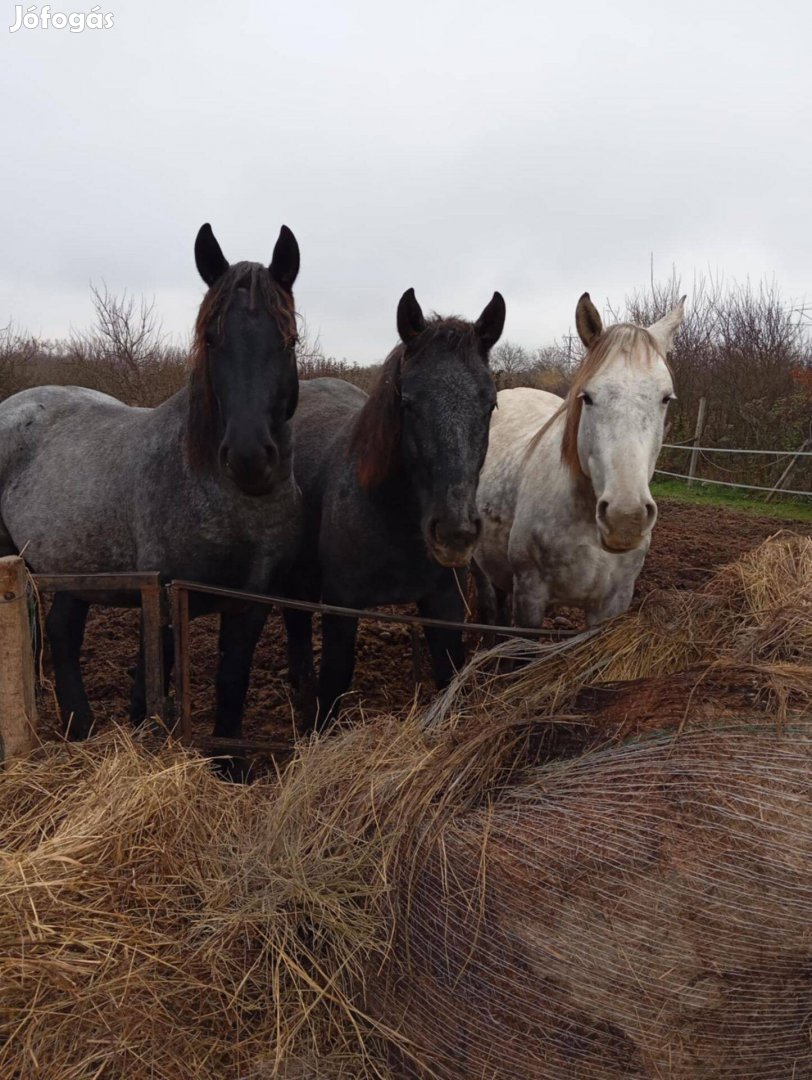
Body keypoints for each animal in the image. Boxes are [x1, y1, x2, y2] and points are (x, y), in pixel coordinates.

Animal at [0, 222, 302, 738]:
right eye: (211, 339)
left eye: (289, 341)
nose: (248, 458)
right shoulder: (161, 597)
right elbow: (151, 687)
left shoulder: (251, 605)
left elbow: (232, 682)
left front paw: (226, 756)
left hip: (76, 564)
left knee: (62, 630)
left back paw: (80, 726)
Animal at [282, 287, 505, 730]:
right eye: (408, 402)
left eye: (489, 404)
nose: (455, 533)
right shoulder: (341, 604)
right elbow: (334, 681)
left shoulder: (444, 604)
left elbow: (449, 674)